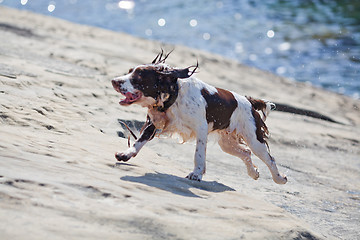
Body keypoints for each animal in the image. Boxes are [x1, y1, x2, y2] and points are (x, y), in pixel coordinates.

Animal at [111, 51, 288, 184]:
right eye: (129, 71)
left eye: (137, 78)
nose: (114, 81)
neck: (174, 96)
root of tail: (249, 101)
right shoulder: (154, 123)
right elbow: (139, 141)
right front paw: (126, 154)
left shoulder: (201, 129)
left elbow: (199, 154)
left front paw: (196, 174)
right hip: (227, 143)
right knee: (246, 152)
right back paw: (254, 173)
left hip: (254, 139)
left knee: (269, 158)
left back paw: (279, 179)